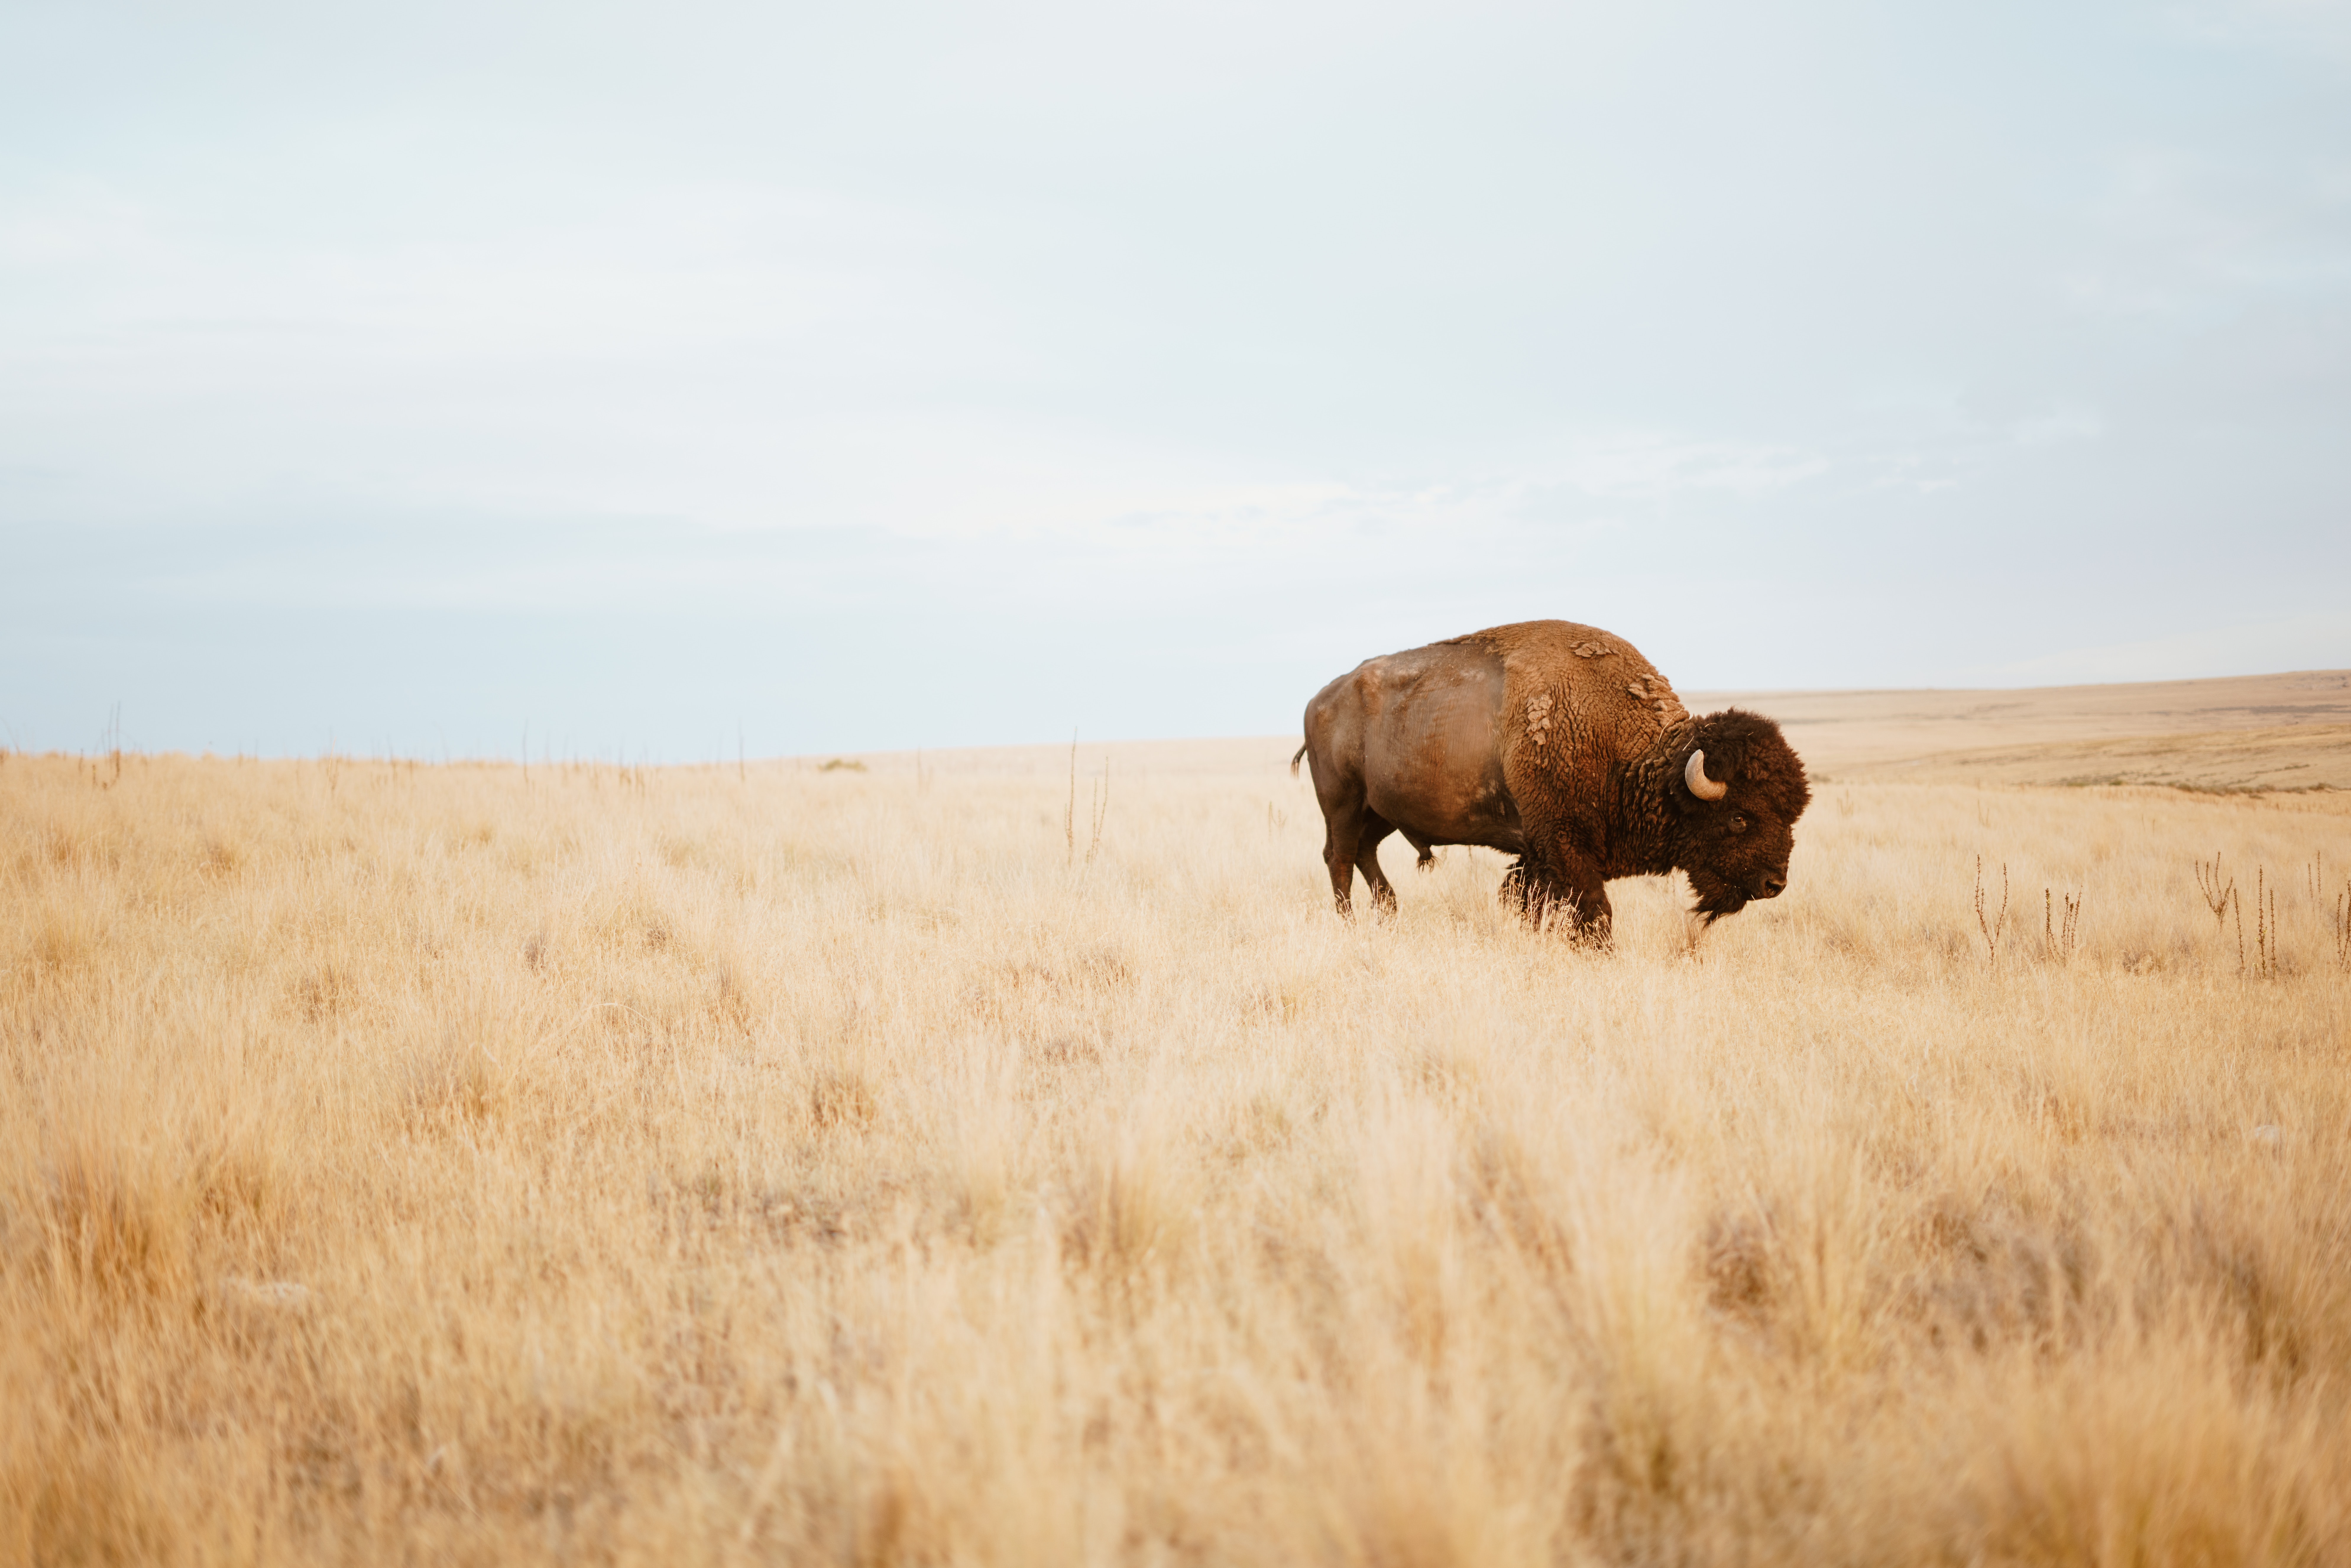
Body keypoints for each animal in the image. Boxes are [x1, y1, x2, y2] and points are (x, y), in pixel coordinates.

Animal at [1290, 620, 1810, 941]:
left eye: (1792, 815)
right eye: (1739, 817)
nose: (1775, 884)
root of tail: (1319, 700)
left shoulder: (1539, 854)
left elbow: (1530, 902)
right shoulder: (1564, 845)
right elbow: (1594, 912)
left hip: (1382, 812)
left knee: (1365, 853)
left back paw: (1390, 912)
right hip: (1343, 803)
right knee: (1339, 858)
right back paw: (1350, 923)